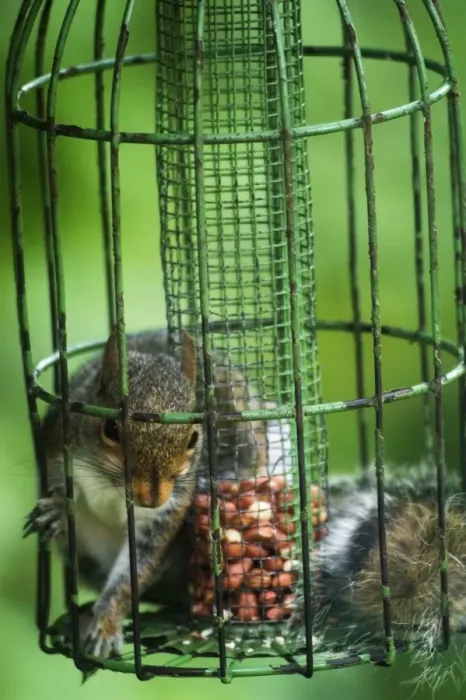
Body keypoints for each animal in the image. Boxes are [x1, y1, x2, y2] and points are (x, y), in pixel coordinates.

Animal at [24, 328, 269, 659]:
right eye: (110, 428)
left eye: (194, 437)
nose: (152, 498)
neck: (113, 487)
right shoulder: (58, 445)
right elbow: (55, 482)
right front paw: (59, 506)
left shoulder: (167, 512)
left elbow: (133, 573)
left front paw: (106, 624)